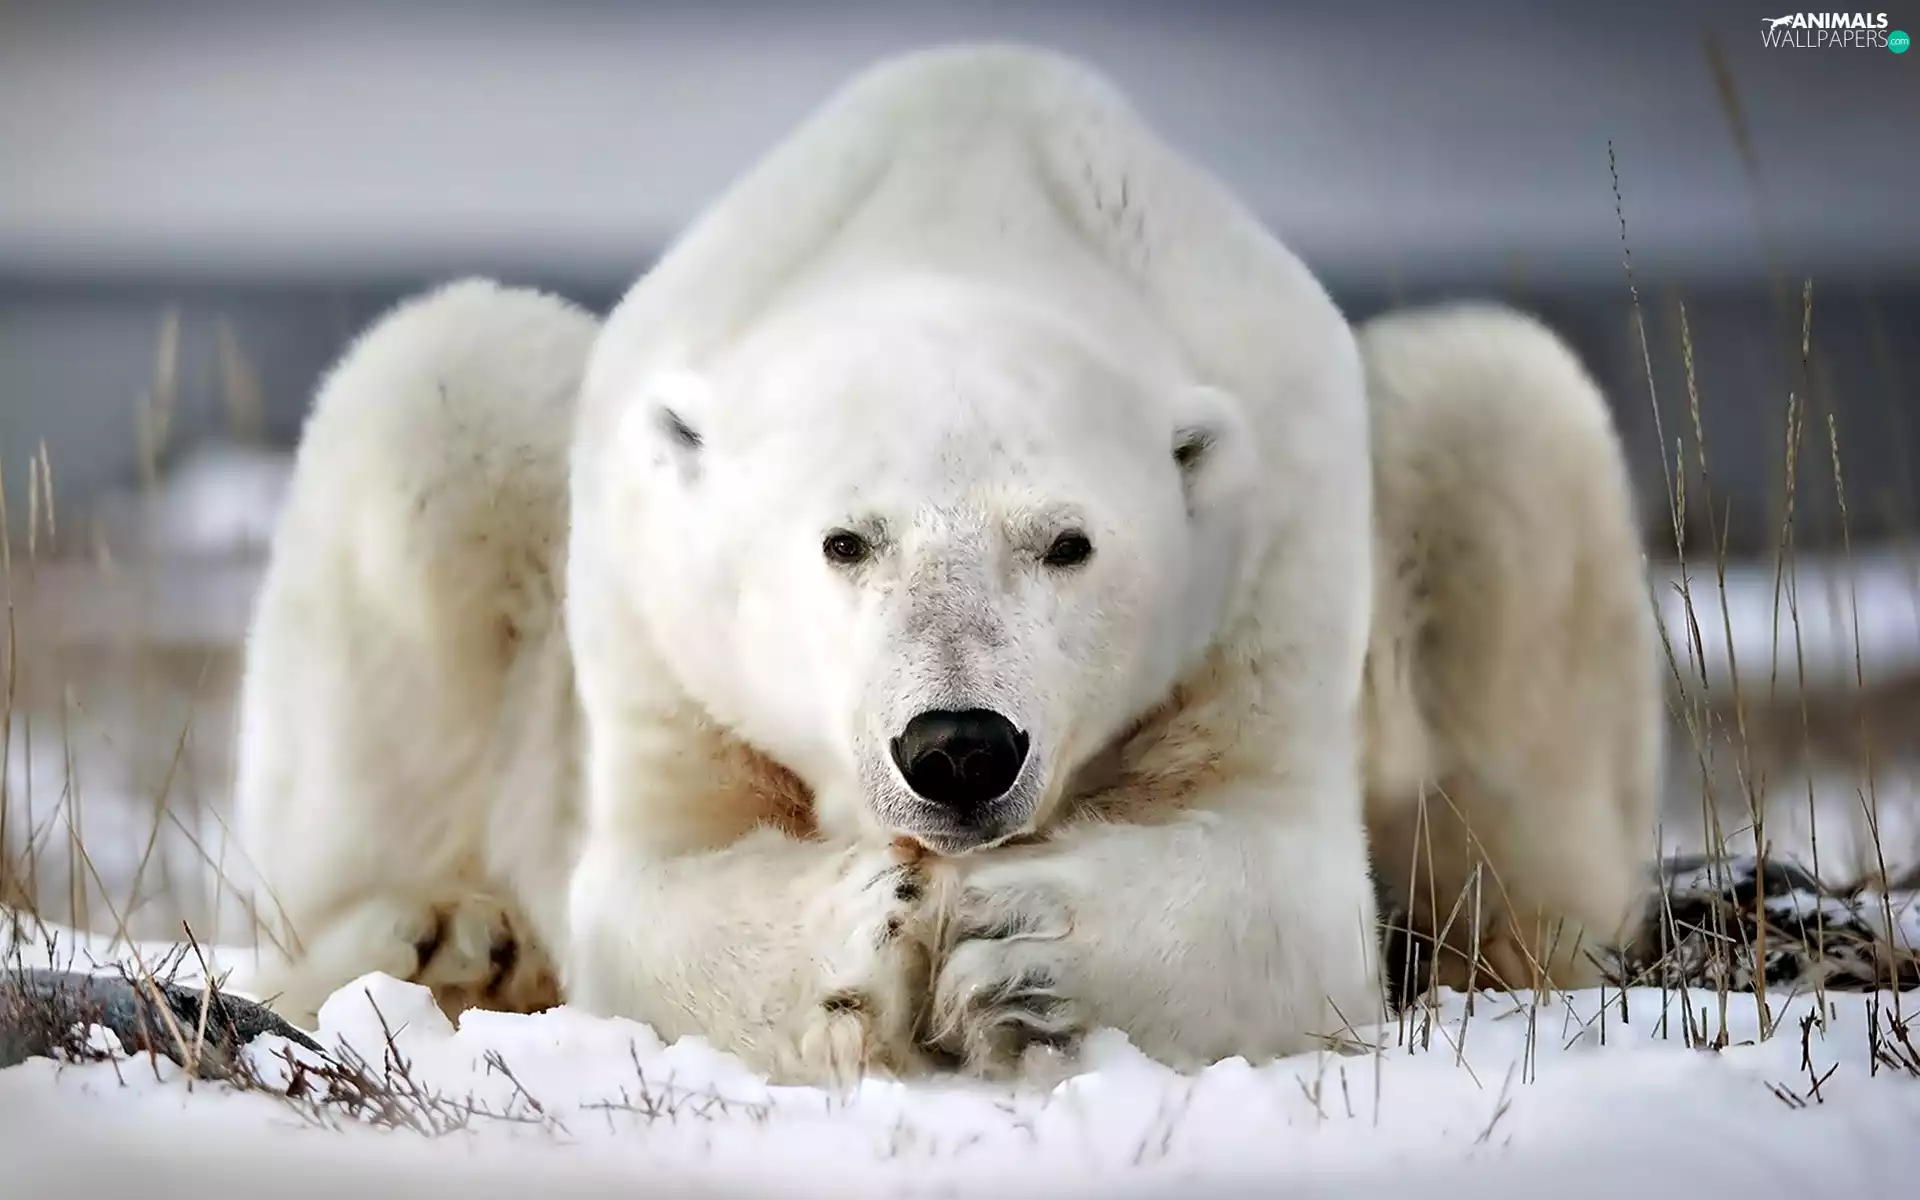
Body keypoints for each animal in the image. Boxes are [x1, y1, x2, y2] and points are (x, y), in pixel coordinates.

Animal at [227, 44, 1659, 1086]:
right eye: (843, 540)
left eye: (1069, 542)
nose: (959, 747)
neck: (964, 207)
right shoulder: (658, 615)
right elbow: (650, 883)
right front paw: (864, 935)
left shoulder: (1272, 553)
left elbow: (1286, 885)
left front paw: (1016, 947)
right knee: (433, 391)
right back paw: (444, 939)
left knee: (1502, 416)